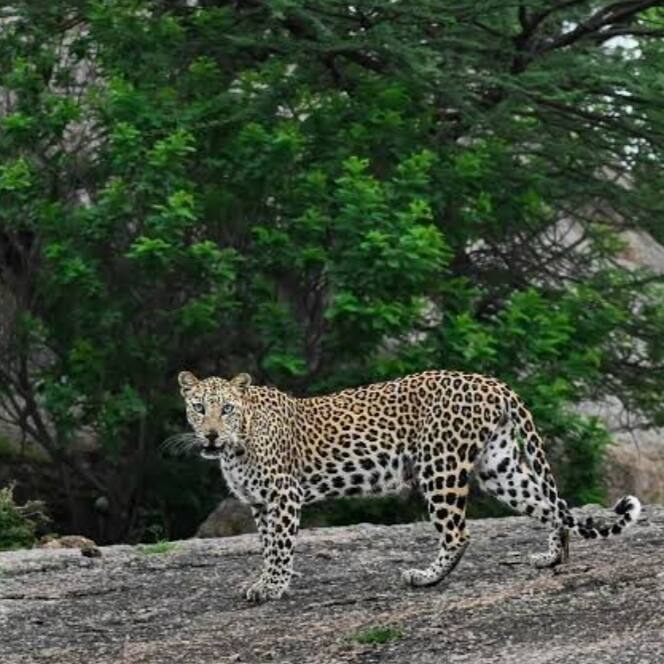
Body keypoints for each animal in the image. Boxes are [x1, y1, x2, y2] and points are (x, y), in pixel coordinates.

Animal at [178, 369, 641, 603]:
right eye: (199, 408)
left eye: (227, 409)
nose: (211, 435)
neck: (237, 443)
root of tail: (494, 382)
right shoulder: (259, 503)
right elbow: (267, 545)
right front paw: (264, 581)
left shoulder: (283, 495)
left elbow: (280, 547)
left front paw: (272, 588)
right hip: (499, 466)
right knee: (549, 504)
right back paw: (553, 557)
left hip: (440, 464)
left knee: (459, 532)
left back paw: (426, 578)